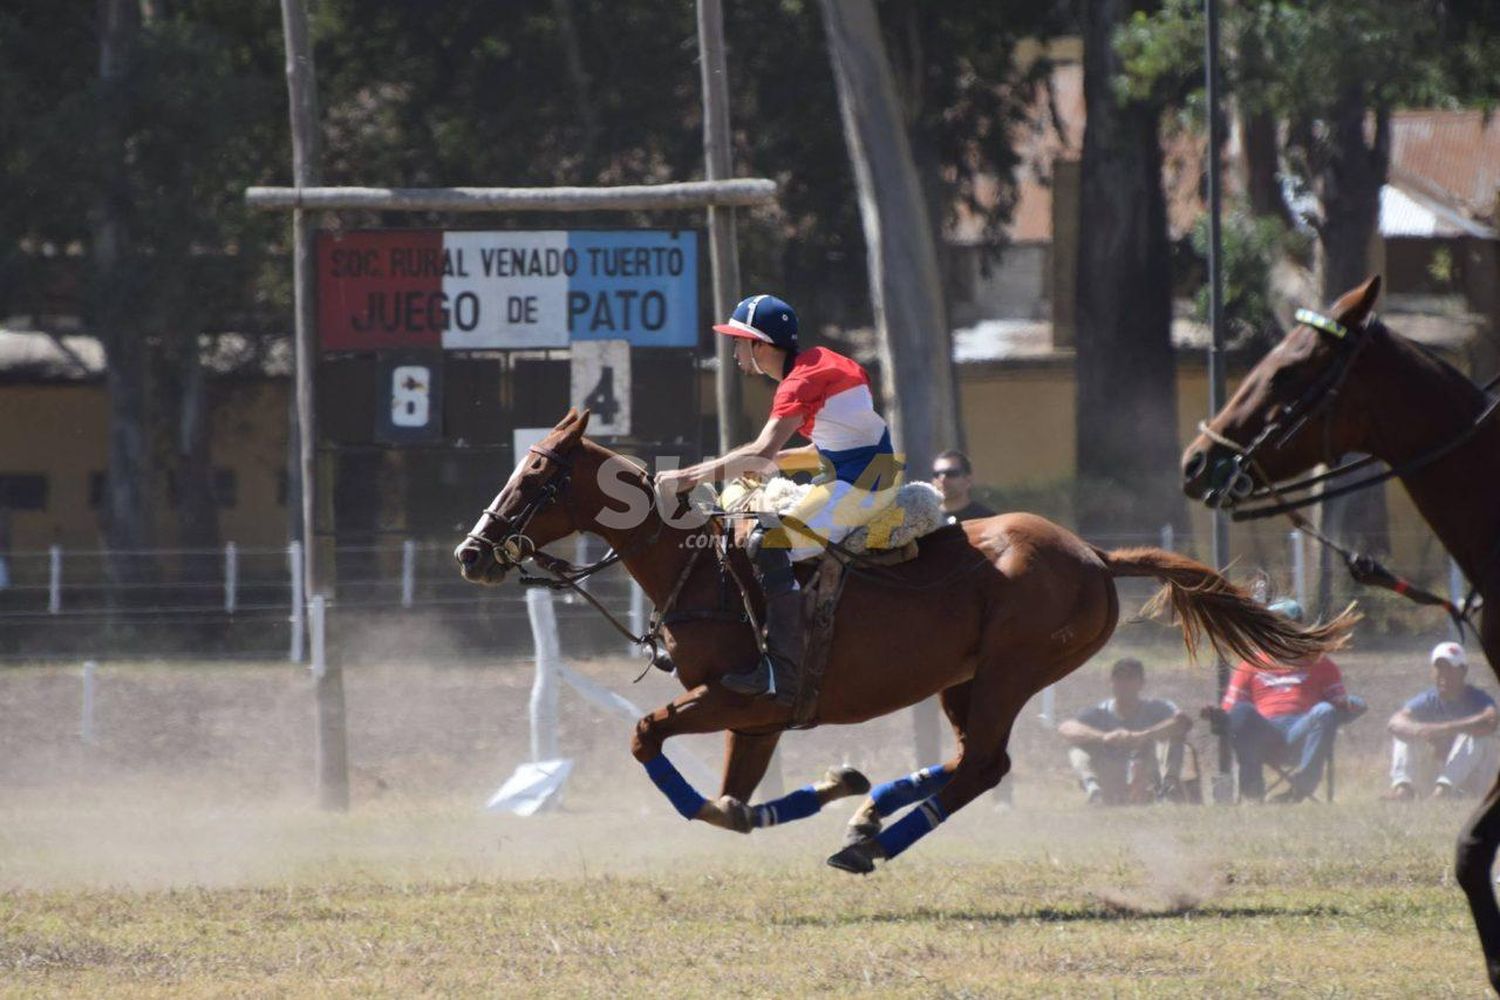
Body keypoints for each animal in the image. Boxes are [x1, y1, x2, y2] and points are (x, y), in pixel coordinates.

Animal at [453, 410, 1350, 869]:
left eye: (537, 474)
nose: (470, 552)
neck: (697, 566)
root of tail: (1097, 555)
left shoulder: (736, 697)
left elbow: (651, 742)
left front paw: (834, 794)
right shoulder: (759, 719)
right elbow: (731, 807)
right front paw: (835, 784)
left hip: (1010, 673)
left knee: (983, 766)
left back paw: (870, 844)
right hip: (965, 680)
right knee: (968, 762)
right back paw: (866, 816)